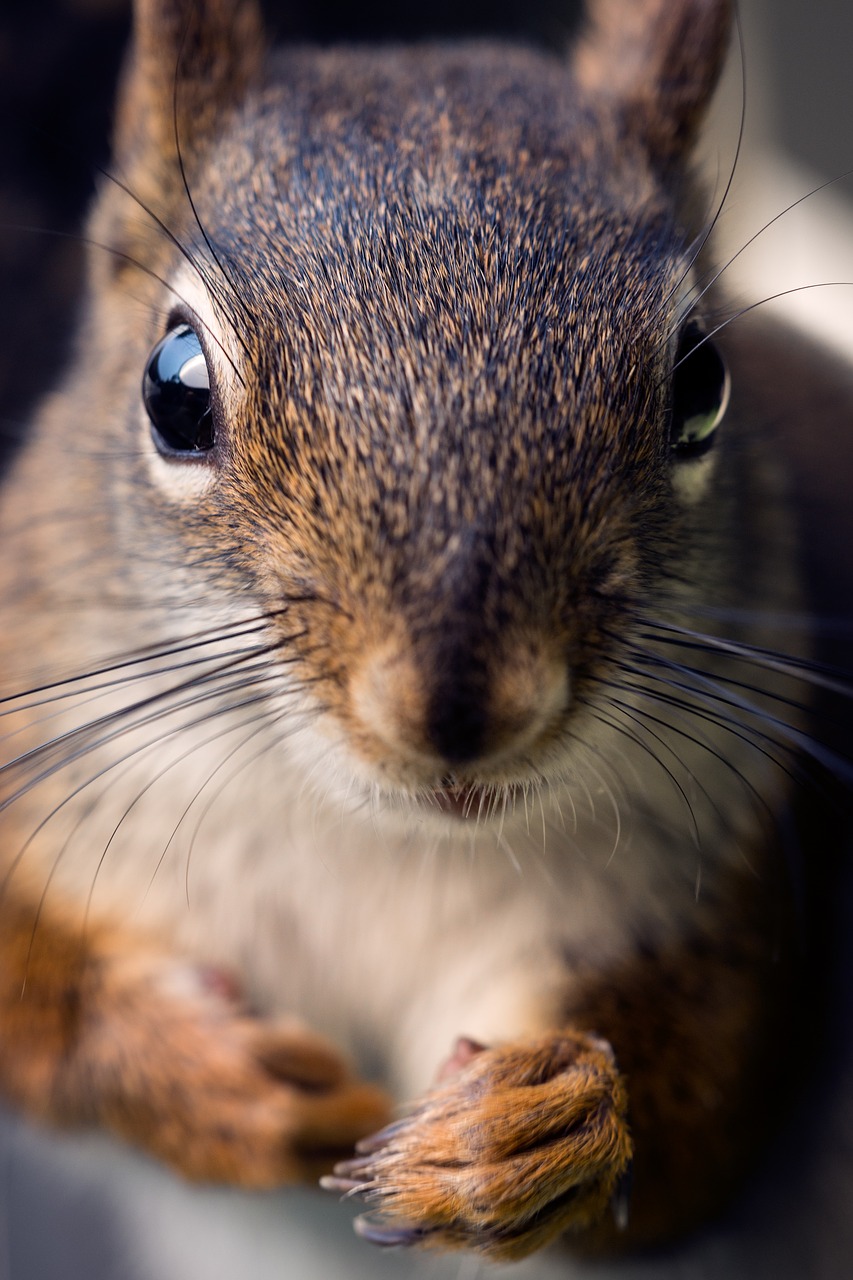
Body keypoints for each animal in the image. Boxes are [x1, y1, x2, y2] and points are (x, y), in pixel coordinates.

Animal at [0, 0, 840, 1259]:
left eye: (701, 381)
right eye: (173, 387)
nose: (455, 711)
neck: (376, 842)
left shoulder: (710, 894)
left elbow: (697, 1112)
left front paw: (542, 1122)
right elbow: (31, 998)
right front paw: (202, 1080)